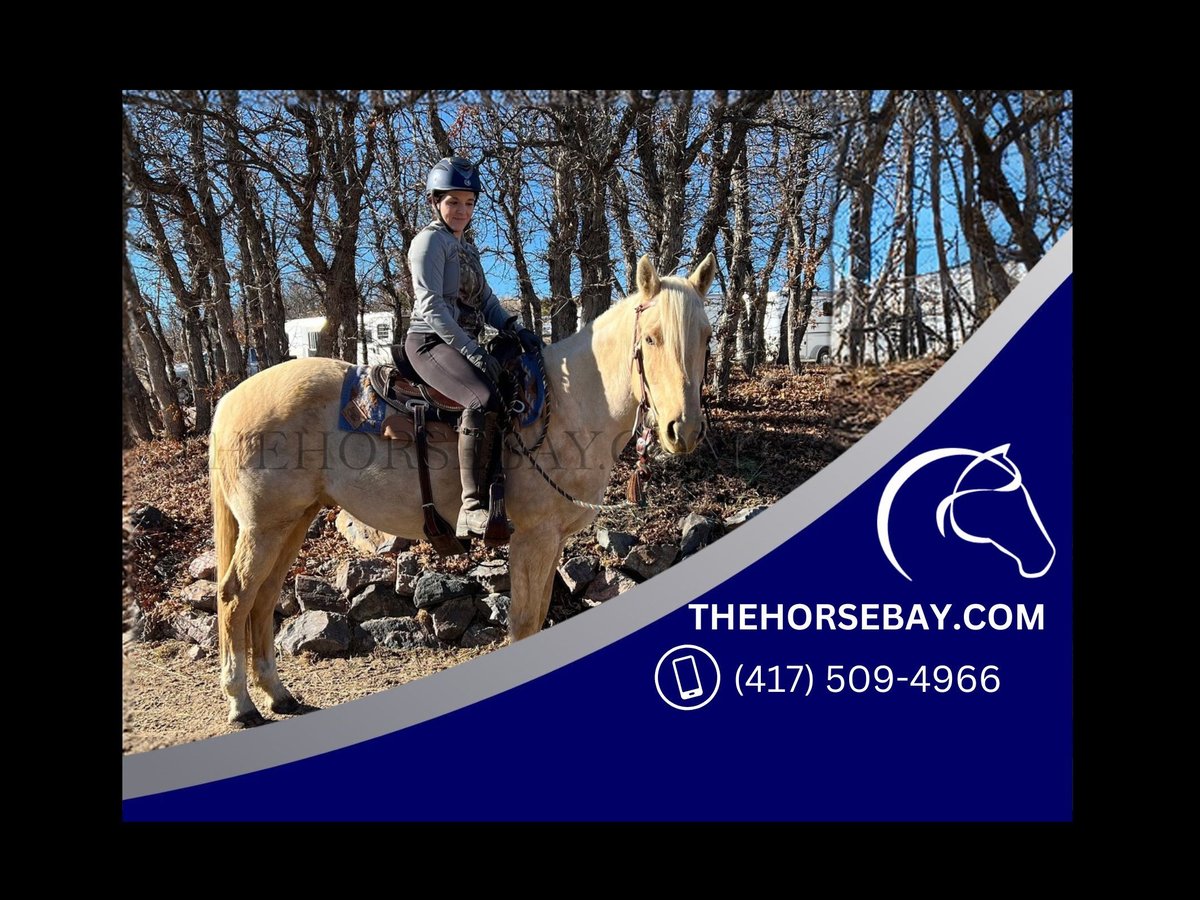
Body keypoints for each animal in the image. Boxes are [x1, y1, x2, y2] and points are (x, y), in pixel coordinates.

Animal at [208, 252, 710, 724]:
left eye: (706, 337)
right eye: (651, 338)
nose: (682, 430)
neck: (570, 407)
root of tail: (230, 399)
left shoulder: (552, 543)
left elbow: (538, 613)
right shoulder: (533, 539)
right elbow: (524, 622)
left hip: (294, 520)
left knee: (264, 597)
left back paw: (277, 694)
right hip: (264, 527)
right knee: (235, 596)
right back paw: (241, 703)